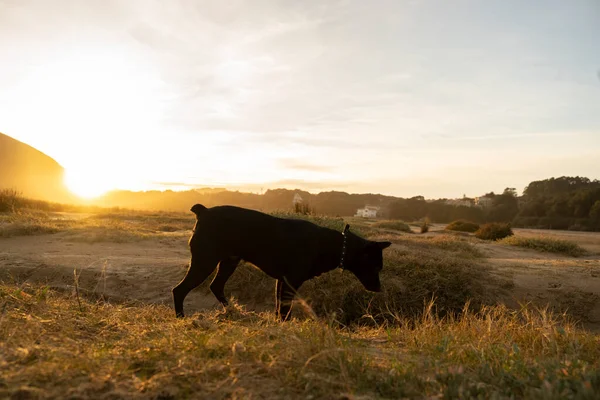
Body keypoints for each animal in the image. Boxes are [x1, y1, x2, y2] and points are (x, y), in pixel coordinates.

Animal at [171, 205, 392, 320]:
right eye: (376, 267)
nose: (379, 289)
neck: (335, 245)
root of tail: (204, 211)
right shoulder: (290, 283)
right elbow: (285, 311)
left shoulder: (282, 282)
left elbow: (280, 310)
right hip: (205, 262)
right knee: (179, 290)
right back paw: (181, 317)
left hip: (228, 262)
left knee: (216, 286)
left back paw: (233, 310)